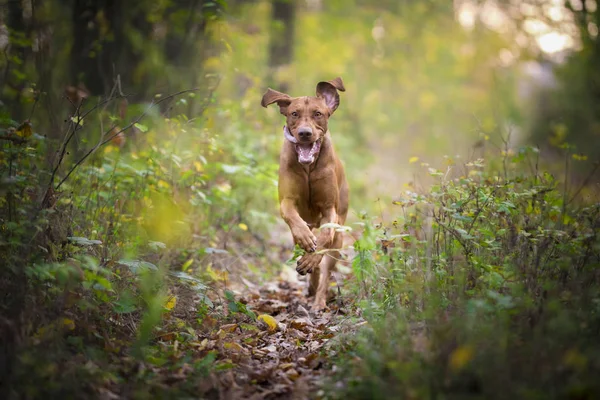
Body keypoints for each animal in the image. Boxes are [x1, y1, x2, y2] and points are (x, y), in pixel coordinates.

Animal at [260, 77, 350, 310]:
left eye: (318, 113)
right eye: (294, 113)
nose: (305, 133)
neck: (308, 168)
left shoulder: (329, 209)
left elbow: (325, 236)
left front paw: (312, 258)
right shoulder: (287, 201)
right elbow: (294, 220)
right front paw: (307, 243)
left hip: (339, 239)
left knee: (327, 270)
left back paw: (319, 300)